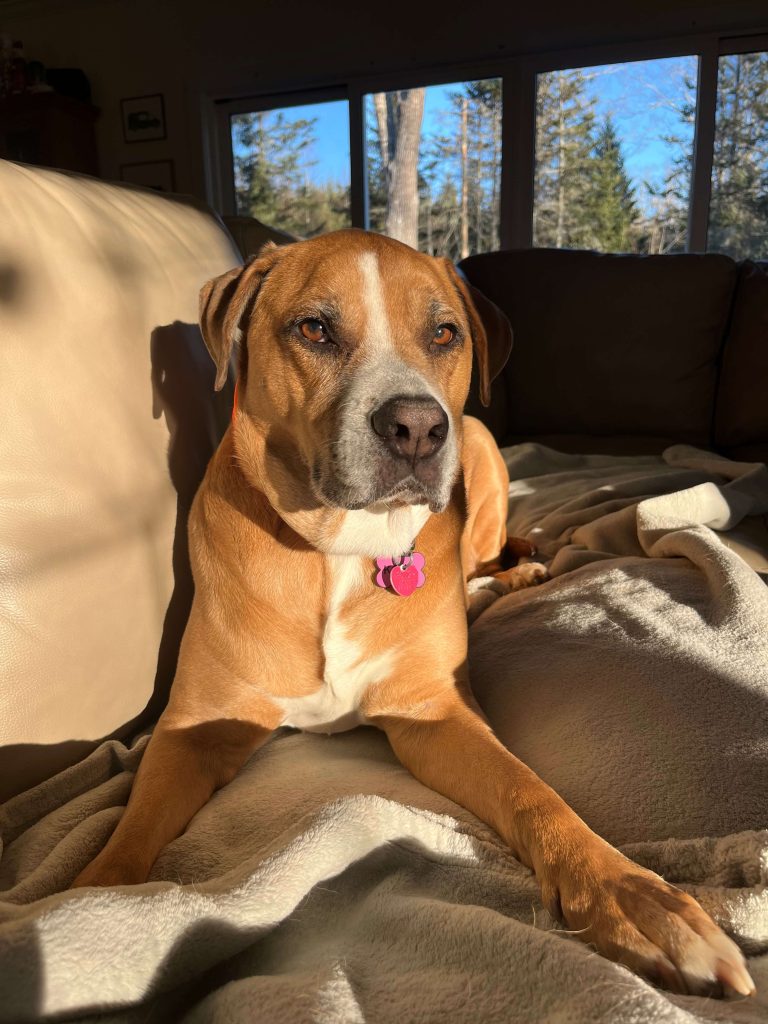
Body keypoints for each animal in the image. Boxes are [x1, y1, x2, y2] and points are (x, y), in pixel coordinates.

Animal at [73, 228, 757, 995]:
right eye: (314, 328)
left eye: (444, 334)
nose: (419, 427)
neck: (340, 549)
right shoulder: (194, 728)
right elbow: (130, 833)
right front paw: (88, 911)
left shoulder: (435, 714)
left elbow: (531, 792)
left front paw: (633, 898)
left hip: (481, 446)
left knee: (487, 553)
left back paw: (509, 576)